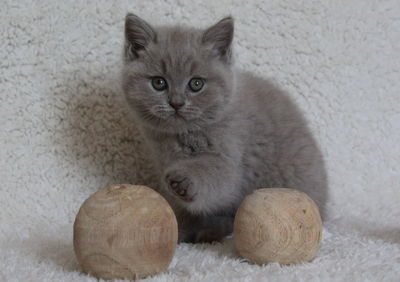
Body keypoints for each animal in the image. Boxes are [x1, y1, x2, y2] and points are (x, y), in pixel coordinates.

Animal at [122, 12, 328, 242]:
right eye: (158, 83)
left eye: (196, 84)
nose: (176, 103)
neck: (181, 136)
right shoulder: (162, 160)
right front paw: (179, 229)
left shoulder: (231, 156)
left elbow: (214, 175)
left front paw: (183, 180)